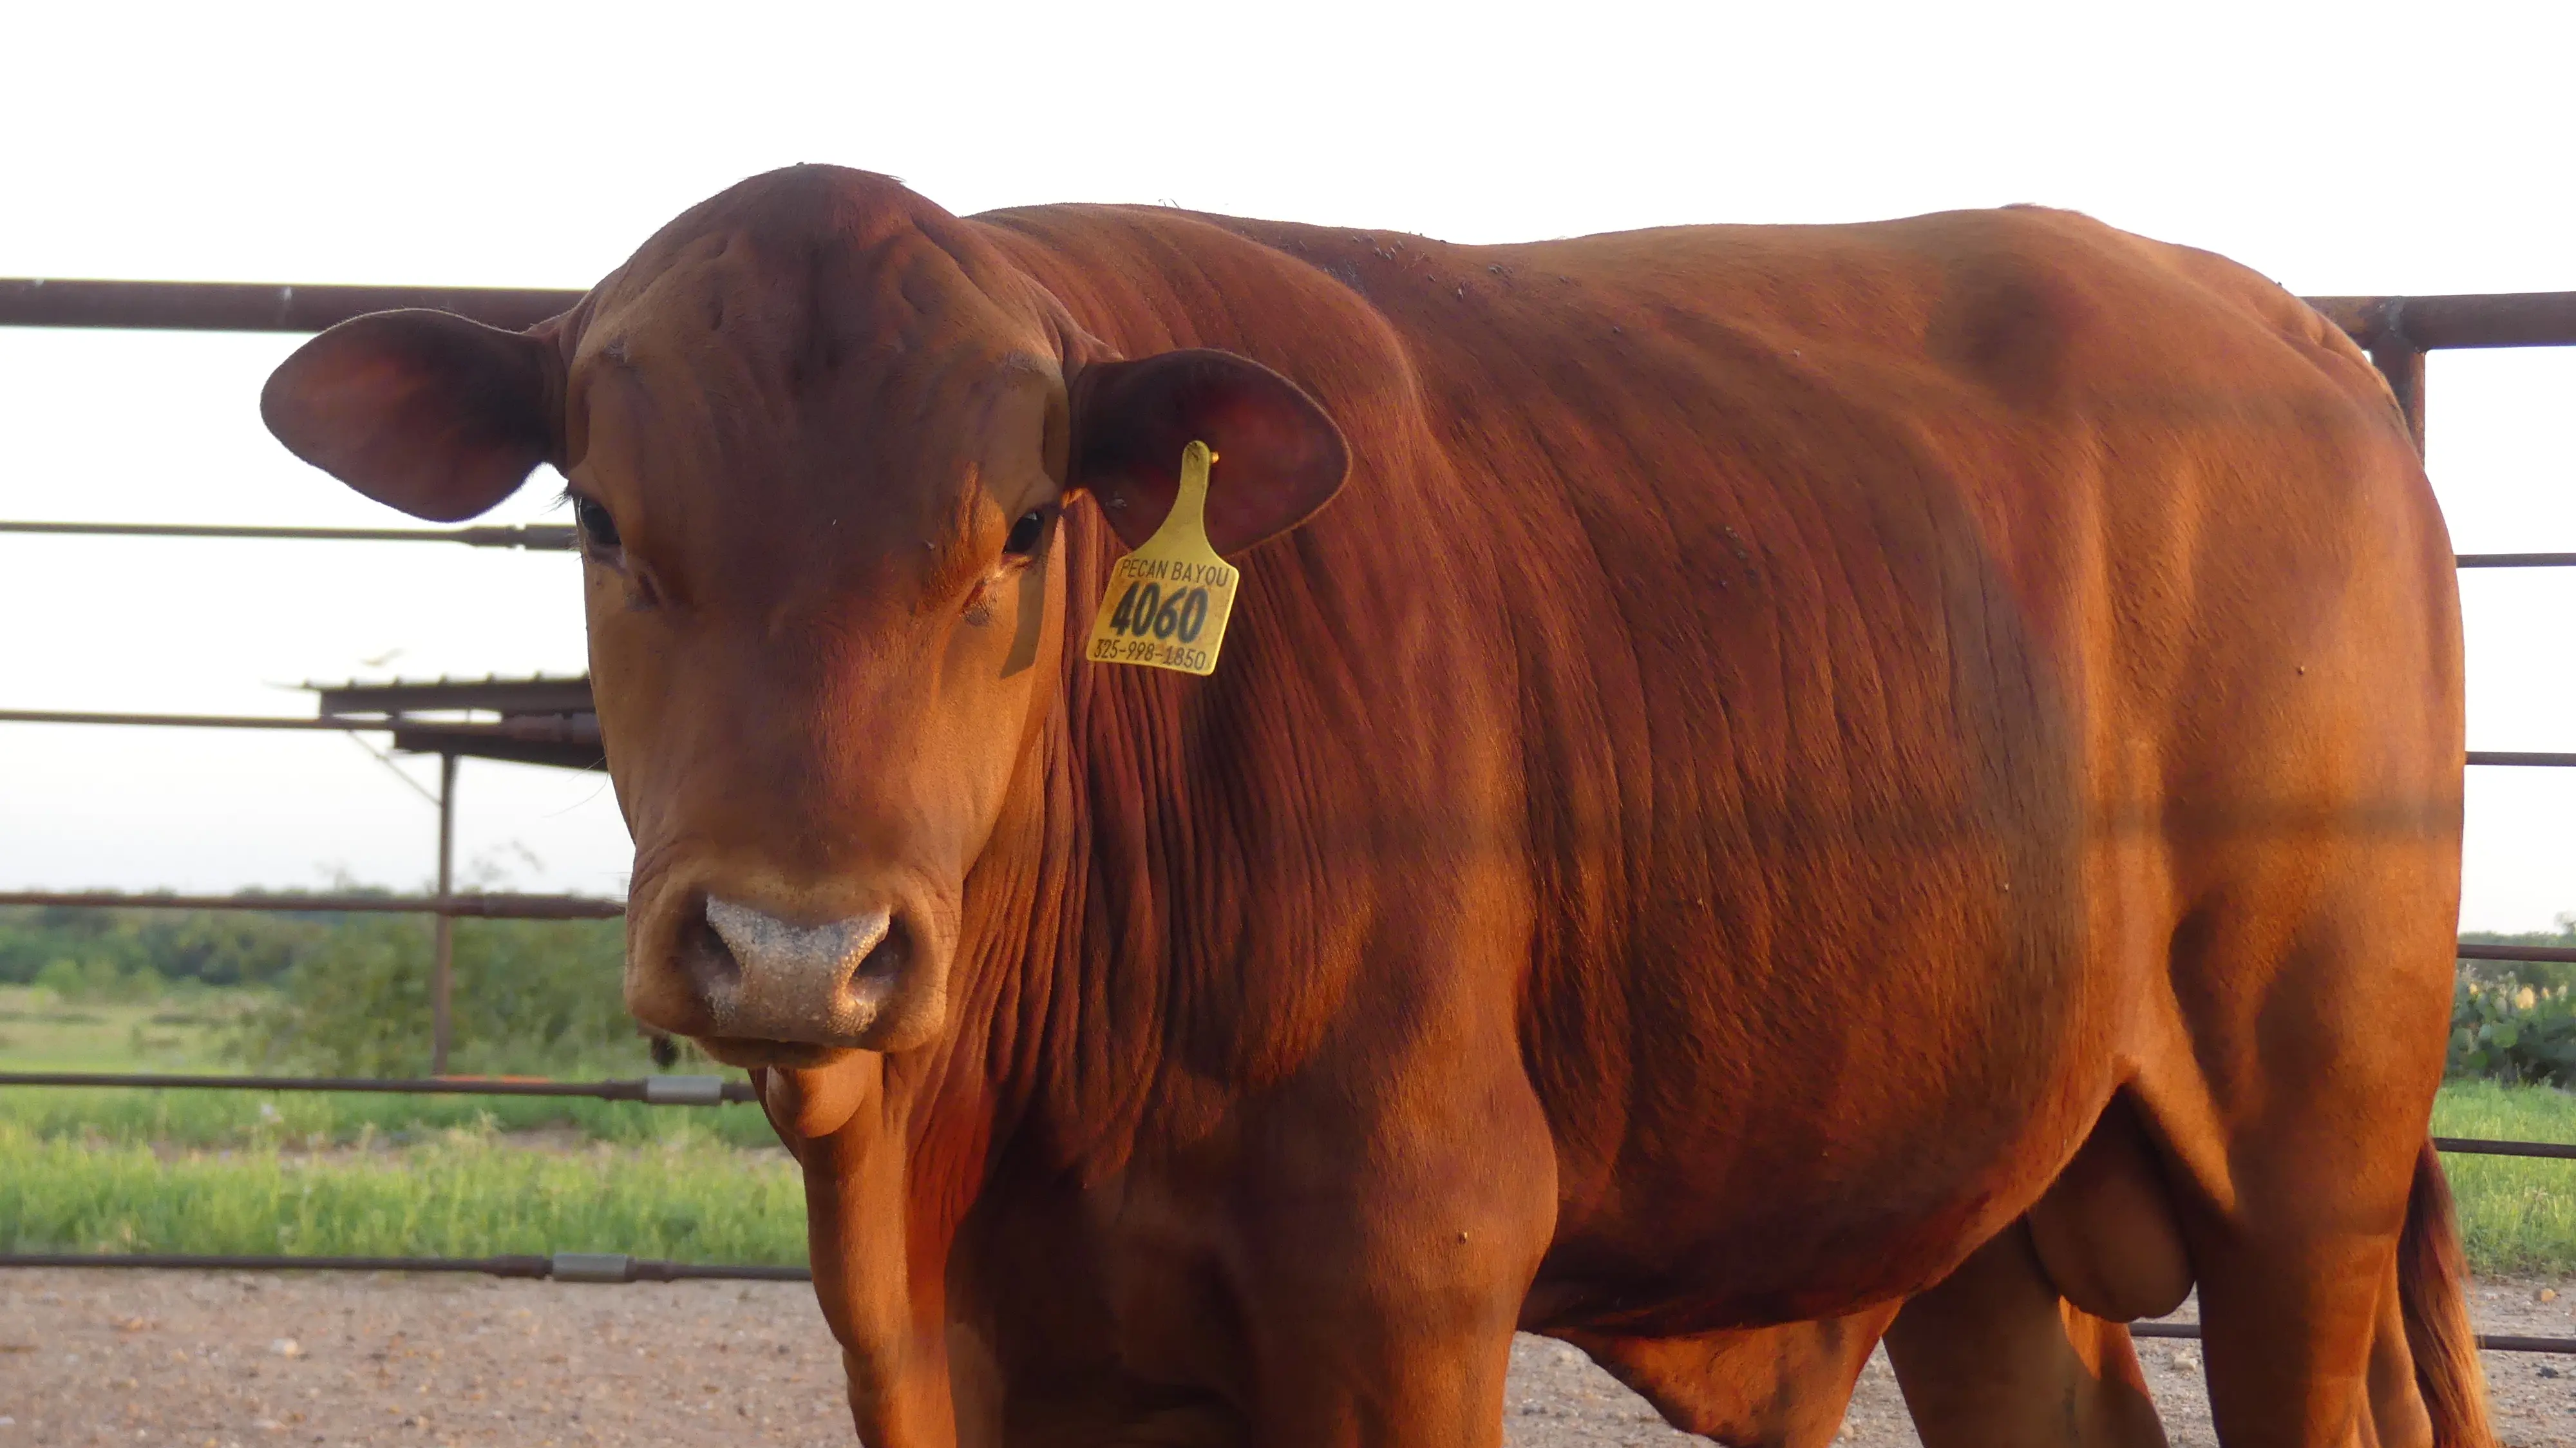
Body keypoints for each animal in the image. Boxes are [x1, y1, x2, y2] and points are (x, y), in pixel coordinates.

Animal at [261, 164, 2487, 1448]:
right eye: (598, 516)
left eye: (1021, 528)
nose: (797, 946)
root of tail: (2290, 333)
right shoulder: (999, 1345)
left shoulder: (1406, 1282)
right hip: (1990, 1205)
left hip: (2305, 1152)